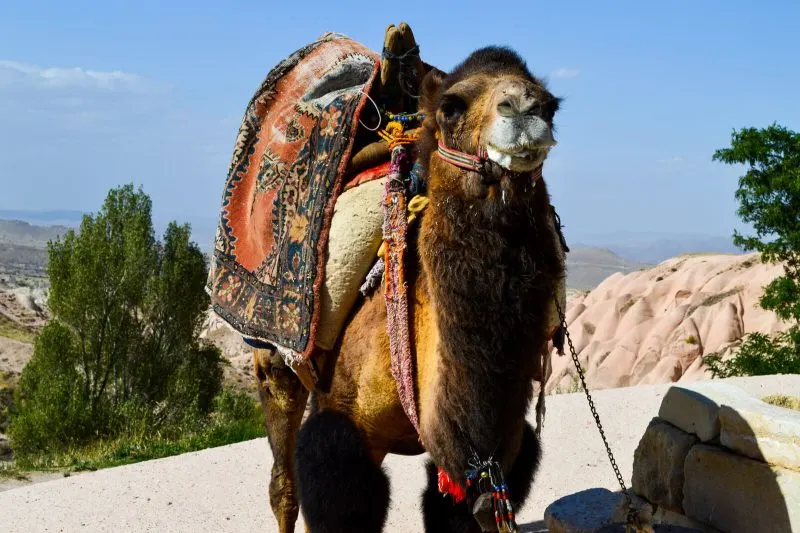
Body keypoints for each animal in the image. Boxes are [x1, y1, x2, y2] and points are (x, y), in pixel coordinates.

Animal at [253, 37, 564, 532]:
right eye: (452, 108)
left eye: (552, 105)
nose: (525, 107)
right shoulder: (344, 430)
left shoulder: (486, 462)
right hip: (274, 361)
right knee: (283, 482)